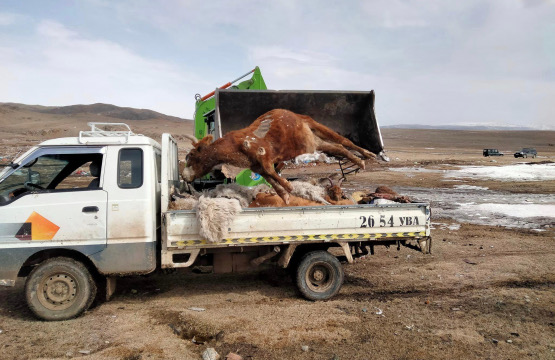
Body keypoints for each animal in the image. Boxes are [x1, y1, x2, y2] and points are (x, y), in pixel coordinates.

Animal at [182, 108, 378, 204]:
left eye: (190, 155)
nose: (184, 176)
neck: (234, 146)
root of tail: (299, 117)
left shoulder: (264, 156)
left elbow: (271, 172)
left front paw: (288, 188)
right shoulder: (257, 166)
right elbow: (270, 177)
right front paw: (284, 195)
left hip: (314, 133)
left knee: (343, 141)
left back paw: (366, 157)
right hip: (313, 141)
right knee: (339, 147)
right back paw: (361, 160)